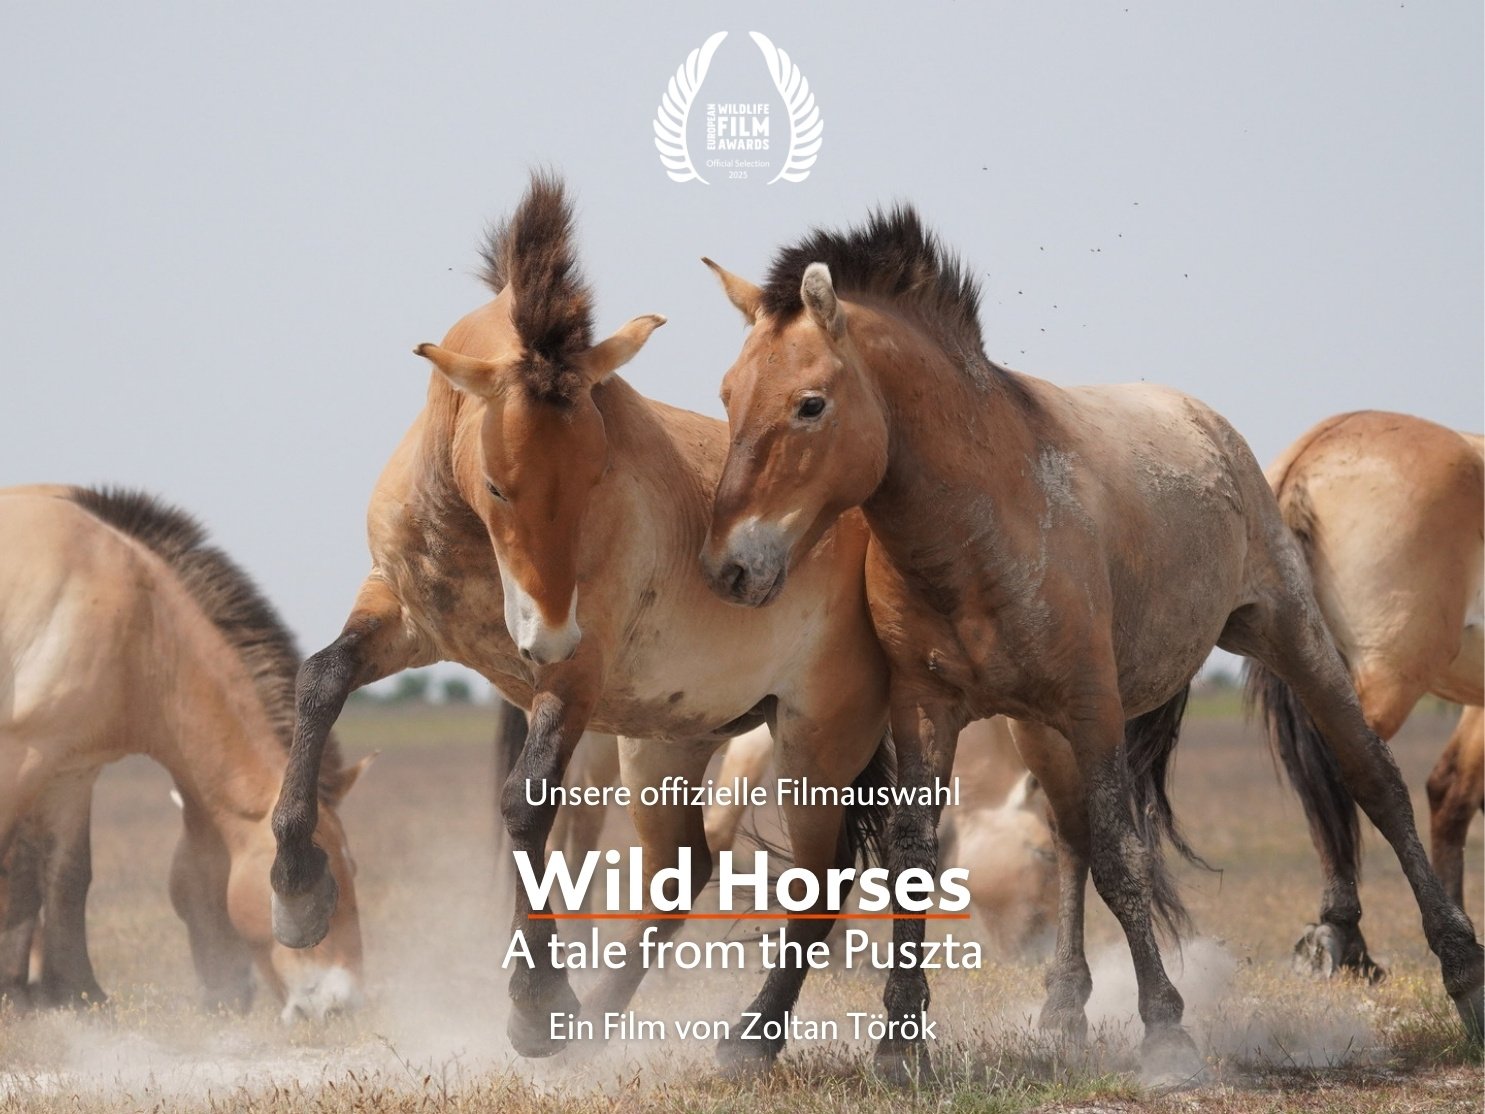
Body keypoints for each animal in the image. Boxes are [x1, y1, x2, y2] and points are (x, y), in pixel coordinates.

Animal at [0, 486, 369, 1020]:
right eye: (322, 874)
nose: (345, 1005)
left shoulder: (70, 772)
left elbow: (65, 875)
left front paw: (74, 995)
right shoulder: (21, 757)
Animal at [268, 173, 893, 1068]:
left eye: (598, 470)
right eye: (498, 484)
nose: (546, 633)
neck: (470, 537)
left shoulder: (572, 679)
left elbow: (527, 804)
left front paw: (535, 1003)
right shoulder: (399, 615)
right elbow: (320, 681)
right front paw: (297, 888)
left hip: (814, 741)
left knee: (817, 882)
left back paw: (745, 1037)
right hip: (667, 739)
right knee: (681, 870)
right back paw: (598, 1019)